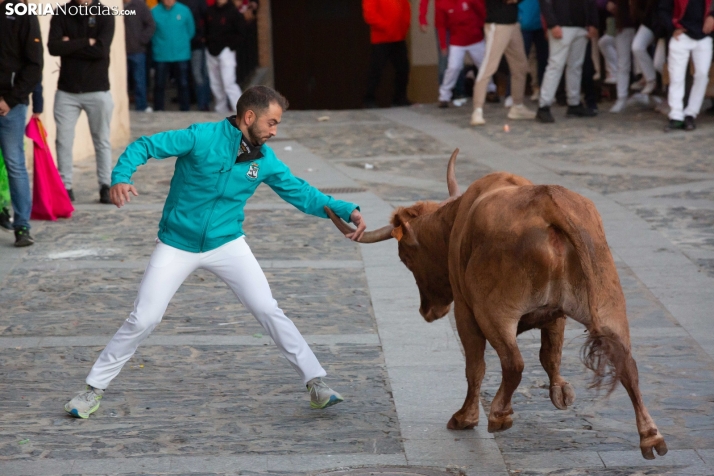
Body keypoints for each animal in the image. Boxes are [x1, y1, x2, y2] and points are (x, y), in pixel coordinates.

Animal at [328, 151, 668, 460]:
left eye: (406, 258)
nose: (428, 311)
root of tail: (548, 202)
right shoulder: (555, 316)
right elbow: (550, 355)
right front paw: (560, 391)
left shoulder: (466, 312)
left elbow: (476, 367)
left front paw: (466, 417)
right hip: (608, 306)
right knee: (627, 366)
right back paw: (651, 437)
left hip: (493, 313)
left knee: (512, 363)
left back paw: (498, 414)